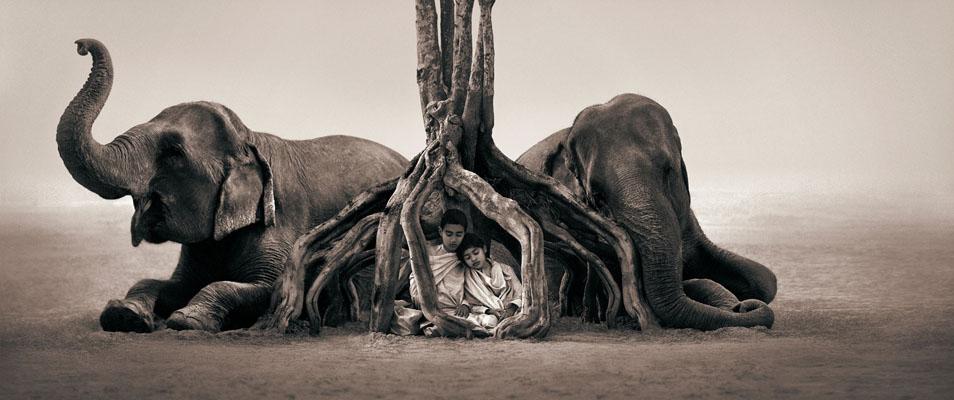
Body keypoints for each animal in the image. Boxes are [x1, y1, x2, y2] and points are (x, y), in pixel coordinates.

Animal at [54, 39, 406, 332]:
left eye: (173, 152)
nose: (80, 45)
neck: (251, 140)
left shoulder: (283, 226)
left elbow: (265, 288)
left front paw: (187, 320)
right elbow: (168, 284)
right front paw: (124, 316)